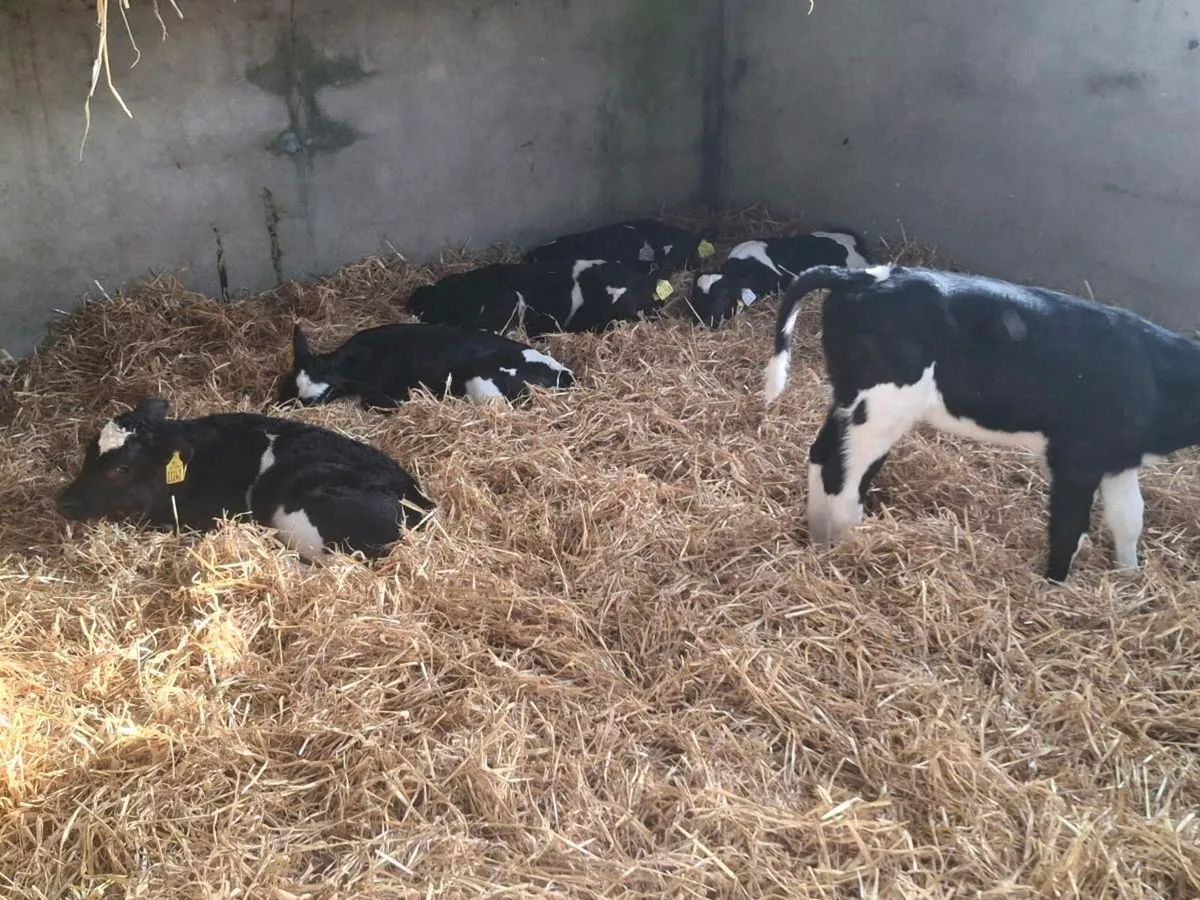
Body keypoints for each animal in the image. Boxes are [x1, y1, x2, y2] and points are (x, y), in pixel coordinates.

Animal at [764, 263, 1200, 583]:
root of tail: (865, 274)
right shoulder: (1077, 459)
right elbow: (1070, 529)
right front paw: (1054, 587)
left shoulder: (1119, 459)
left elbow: (1129, 519)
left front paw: (1129, 582)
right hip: (878, 407)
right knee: (841, 471)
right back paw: (844, 543)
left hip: (851, 400)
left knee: (824, 455)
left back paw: (824, 537)